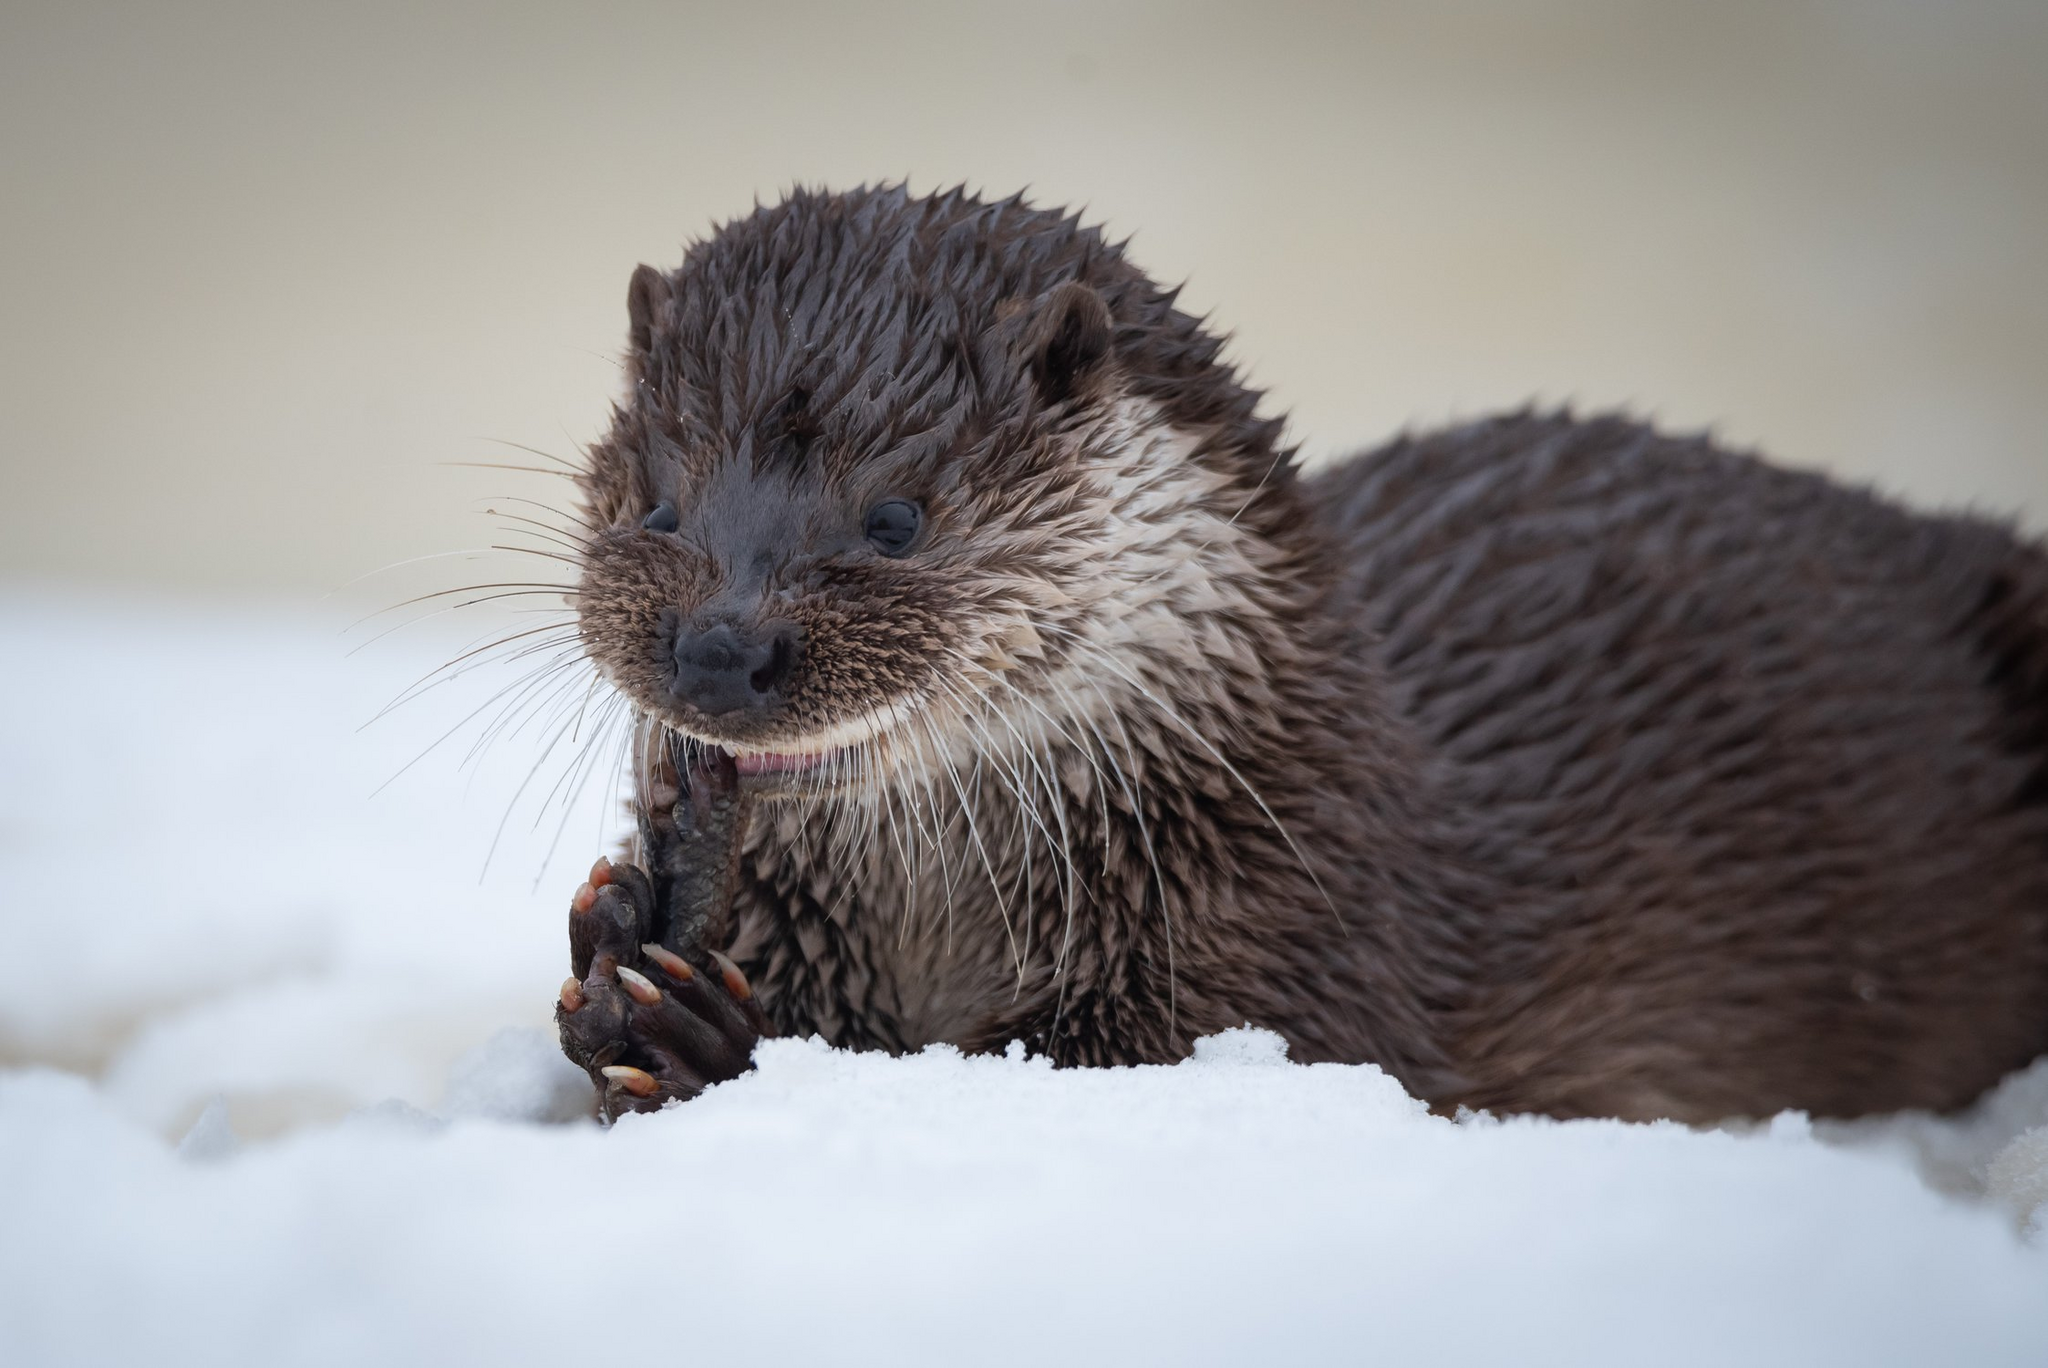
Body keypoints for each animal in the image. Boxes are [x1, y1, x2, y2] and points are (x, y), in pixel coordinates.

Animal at [548, 184, 2048, 1122]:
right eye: (657, 499)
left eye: (897, 518)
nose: (719, 646)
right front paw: (615, 948)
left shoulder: (1268, 957)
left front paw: (699, 1038)